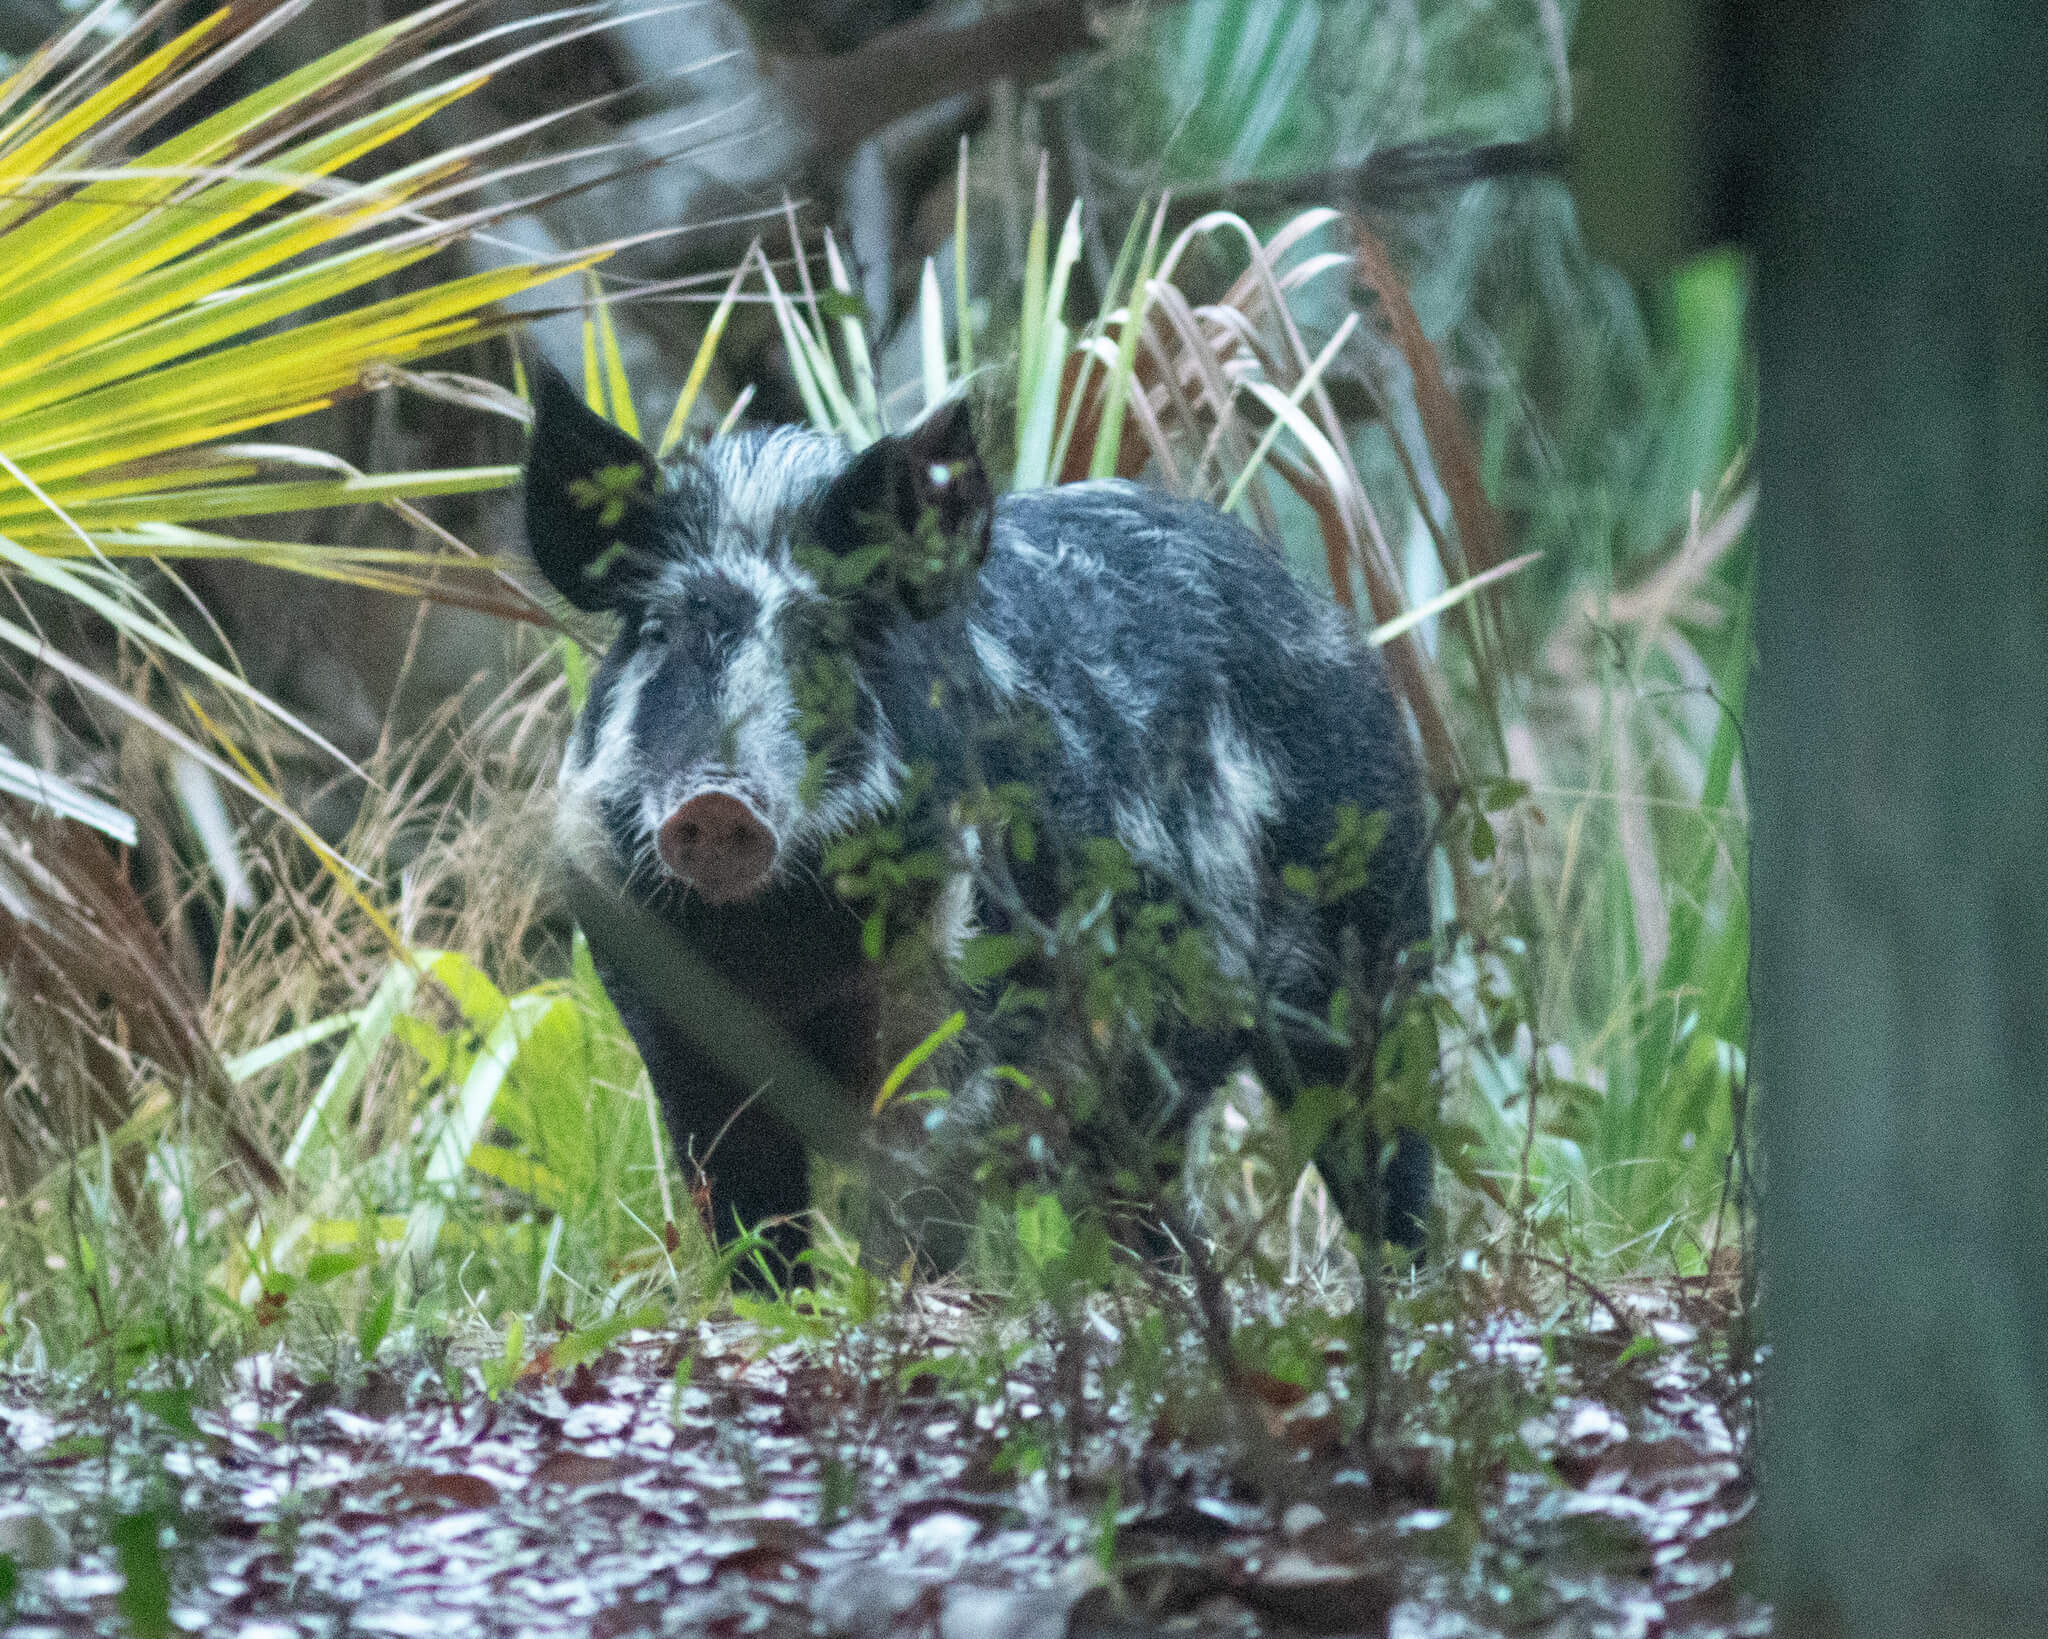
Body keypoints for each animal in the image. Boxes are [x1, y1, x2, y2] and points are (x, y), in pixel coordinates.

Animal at [524, 362, 1433, 1275]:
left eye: (824, 636)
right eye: (657, 629)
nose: (716, 803)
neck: (779, 942)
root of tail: (1326, 619)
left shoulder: (967, 998)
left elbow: (917, 1195)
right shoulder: (668, 1020)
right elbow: (749, 1219)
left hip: (1374, 936)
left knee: (1386, 1147)